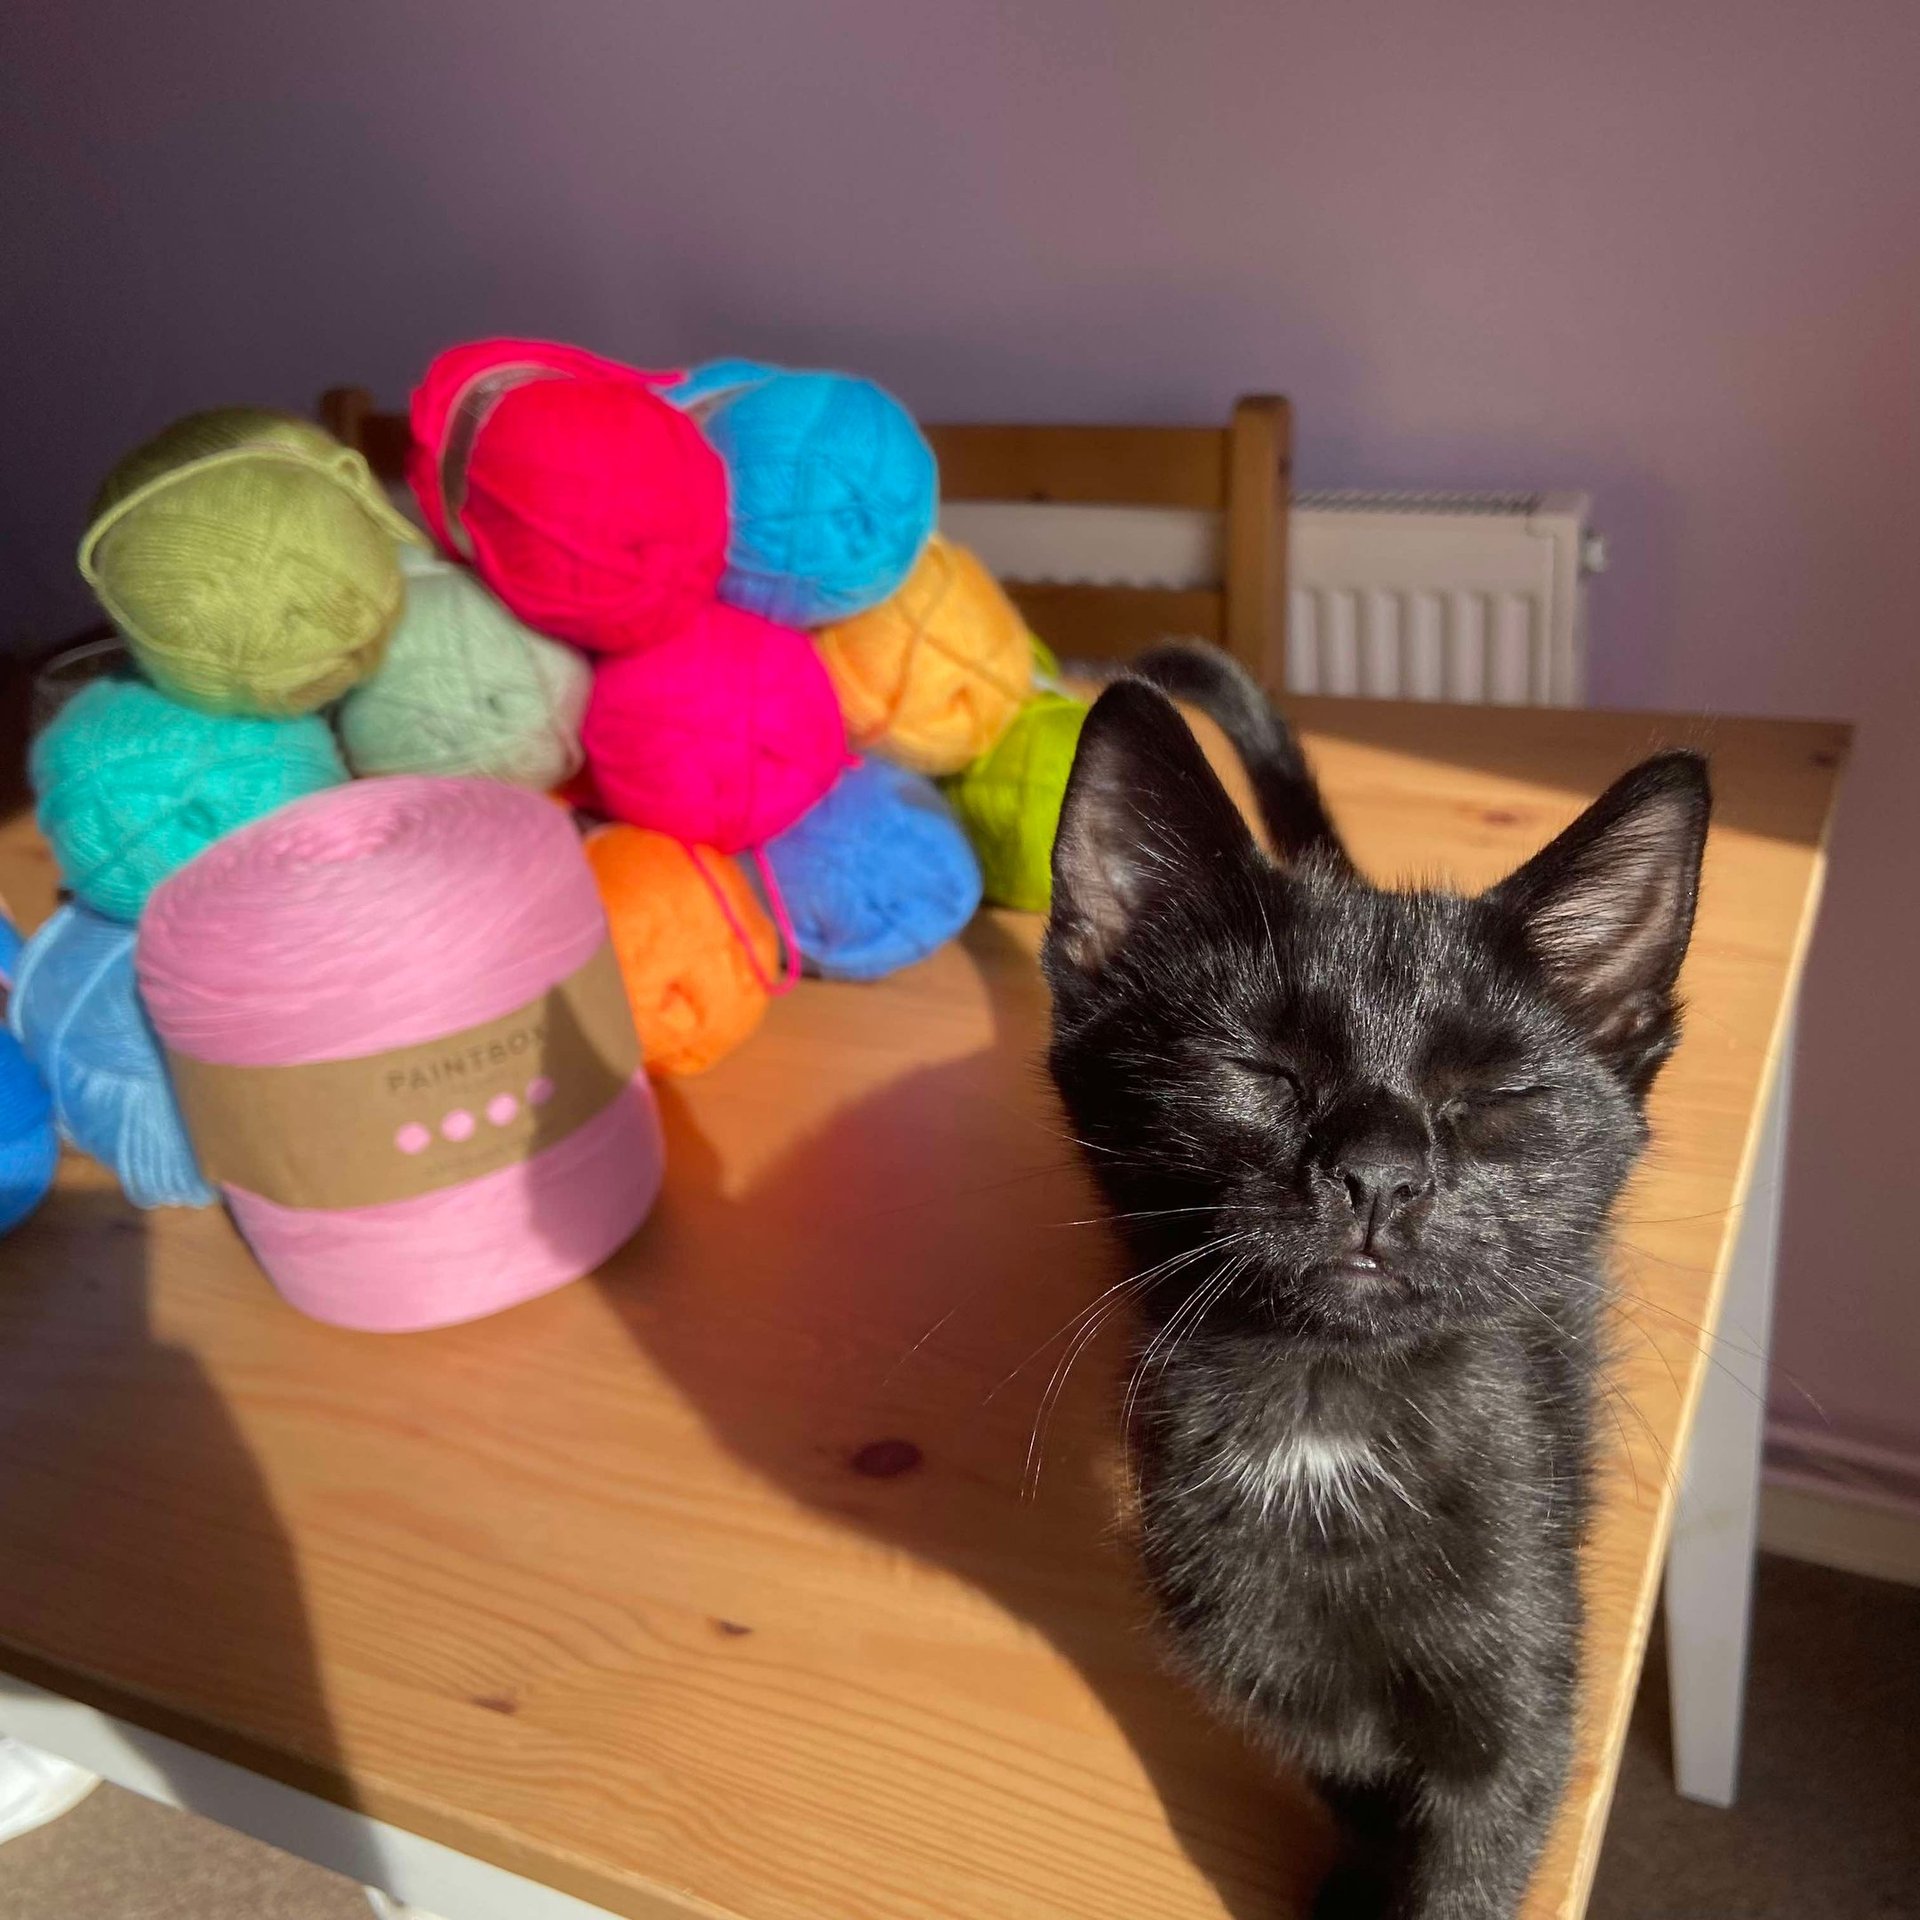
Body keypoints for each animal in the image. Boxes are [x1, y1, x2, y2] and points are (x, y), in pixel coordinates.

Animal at [1044, 648, 1720, 1920]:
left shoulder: (1522, 1693)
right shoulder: (1265, 1657)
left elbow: (1469, 1855)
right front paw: (1358, 1878)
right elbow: (1353, 1774)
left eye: (1493, 1099)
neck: (1323, 1418)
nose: (1379, 1174)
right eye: (1258, 1069)